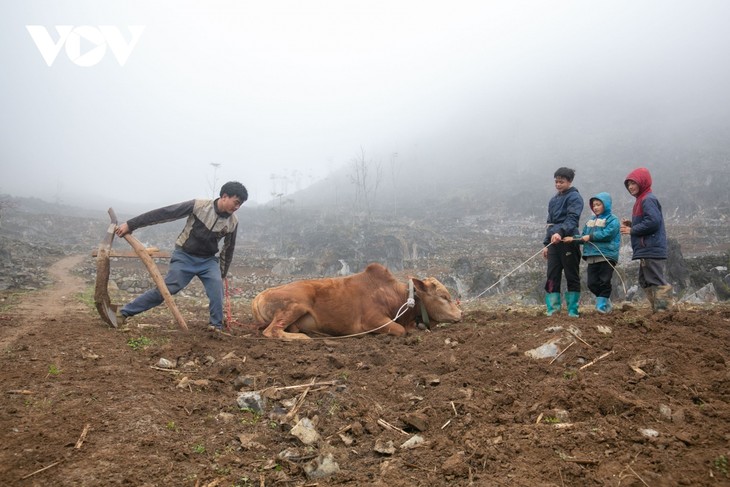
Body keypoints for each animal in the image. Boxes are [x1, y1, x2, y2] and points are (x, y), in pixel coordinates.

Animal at [250, 264, 460, 340]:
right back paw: (304, 337)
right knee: (272, 331)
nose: (460, 313)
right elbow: (400, 330)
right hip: (294, 306)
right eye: (443, 296)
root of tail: (259, 296)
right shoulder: (372, 321)